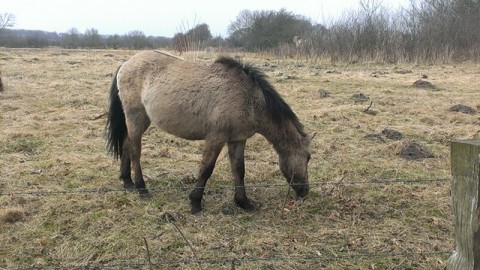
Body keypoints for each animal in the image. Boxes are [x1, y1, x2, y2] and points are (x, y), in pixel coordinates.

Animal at [106, 50, 312, 213]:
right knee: (135, 150)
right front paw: (195, 203)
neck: (249, 99)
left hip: (143, 120)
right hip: (136, 117)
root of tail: (126, 63)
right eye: (308, 157)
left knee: (126, 144)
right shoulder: (216, 138)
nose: (305, 192)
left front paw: (244, 203)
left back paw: (127, 182)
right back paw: (142, 189)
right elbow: (206, 169)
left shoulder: (237, 140)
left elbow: (239, 170)